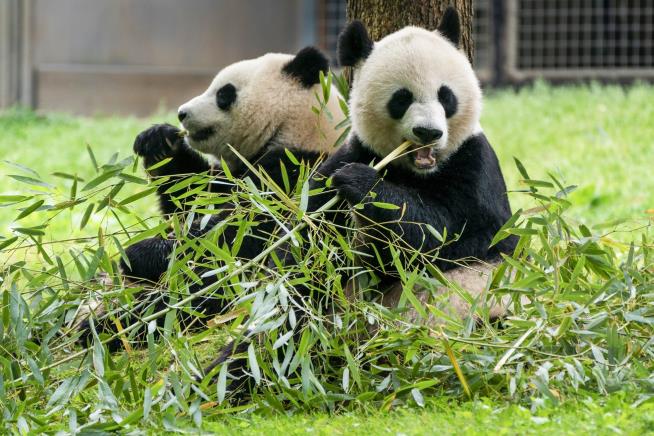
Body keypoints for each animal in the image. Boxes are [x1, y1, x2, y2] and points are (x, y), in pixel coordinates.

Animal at [75, 46, 348, 350]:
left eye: (223, 94)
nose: (181, 113)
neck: (298, 128)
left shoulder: (295, 174)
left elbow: (236, 236)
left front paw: (139, 253)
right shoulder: (233, 173)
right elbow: (192, 199)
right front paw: (159, 141)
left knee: (190, 299)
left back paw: (105, 328)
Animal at [202, 7, 520, 396]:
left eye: (446, 96)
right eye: (402, 98)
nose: (428, 133)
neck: (414, 171)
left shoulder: (475, 167)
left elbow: (448, 235)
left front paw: (363, 185)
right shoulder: (346, 158)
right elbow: (308, 254)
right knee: (286, 328)